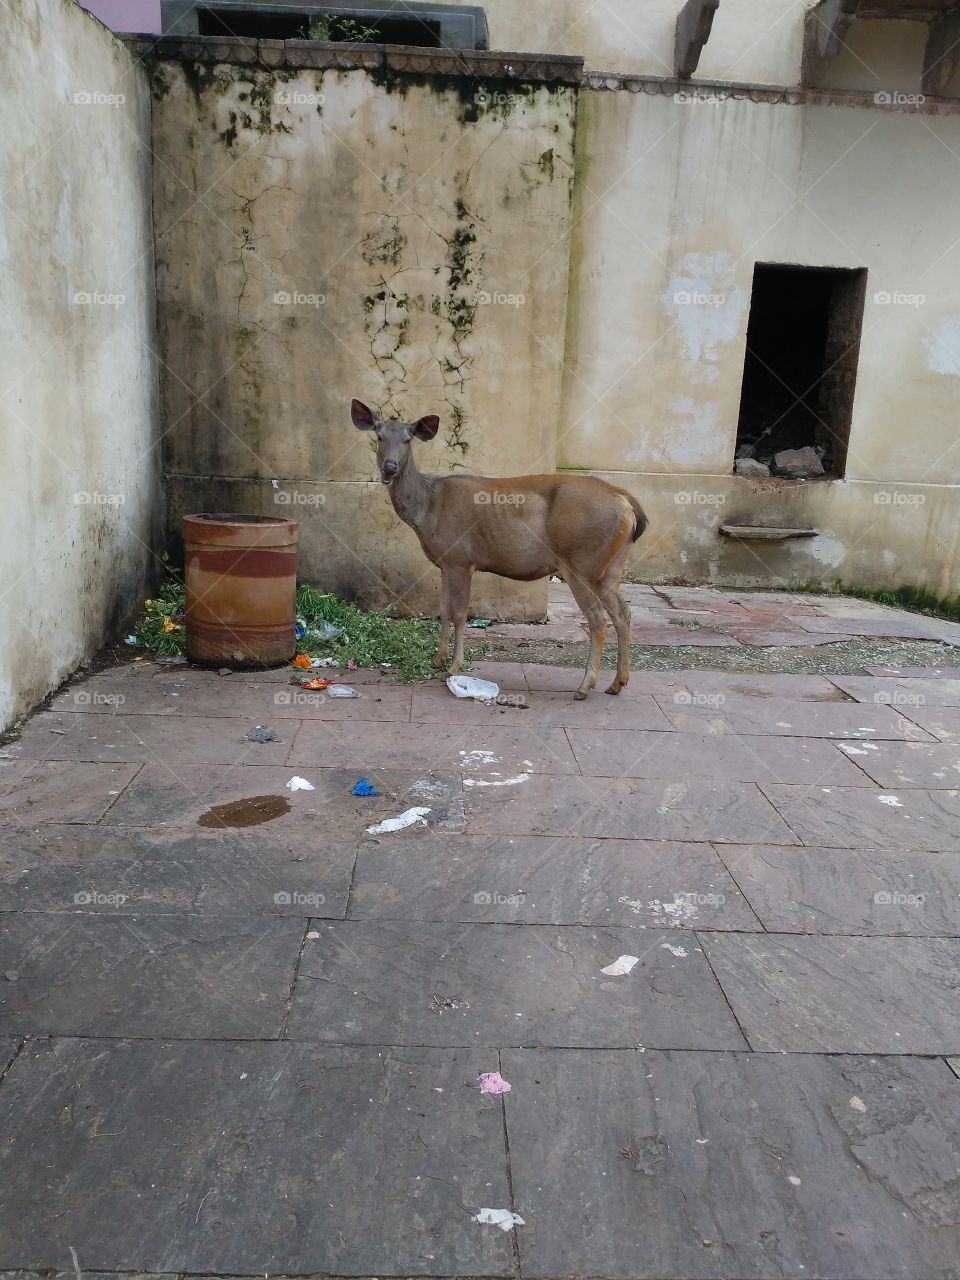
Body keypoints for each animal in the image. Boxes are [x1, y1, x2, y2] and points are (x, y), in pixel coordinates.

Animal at [351, 400, 648, 699]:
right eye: (379, 436)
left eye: (407, 439)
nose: (389, 468)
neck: (427, 509)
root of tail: (628, 504)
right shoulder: (445, 562)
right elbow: (443, 610)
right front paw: (438, 659)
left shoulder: (461, 558)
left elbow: (460, 613)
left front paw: (455, 666)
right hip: (611, 566)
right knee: (623, 613)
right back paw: (617, 683)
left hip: (580, 562)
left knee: (598, 618)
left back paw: (585, 686)